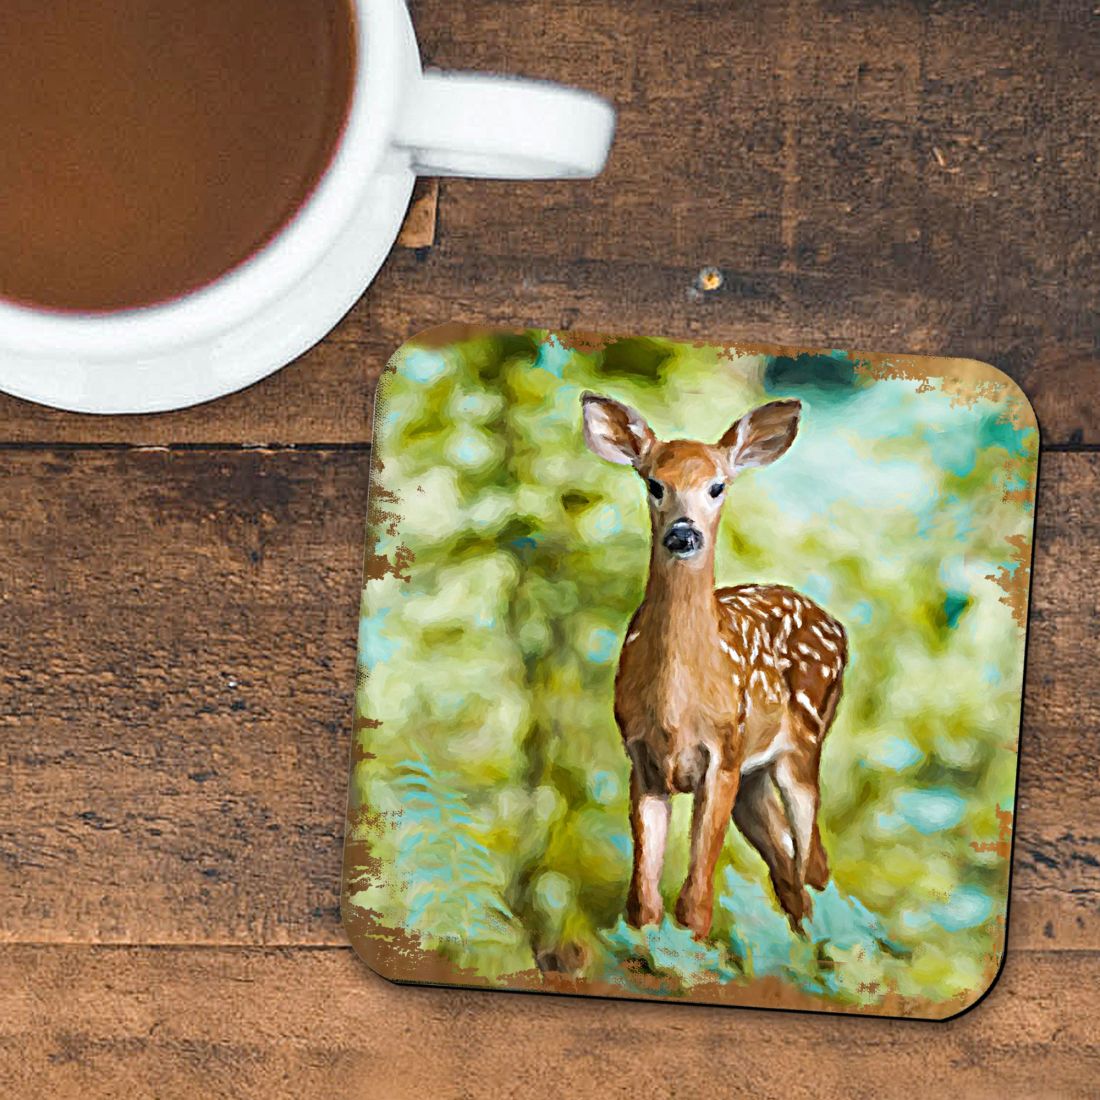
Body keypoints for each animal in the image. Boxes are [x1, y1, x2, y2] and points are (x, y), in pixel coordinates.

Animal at [581, 392, 847, 941]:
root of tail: (838, 625)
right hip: (754, 779)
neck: (676, 706)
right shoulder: (641, 760)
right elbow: (643, 905)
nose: (683, 534)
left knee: (811, 863)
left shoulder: (722, 753)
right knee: (790, 875)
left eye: (717, 486)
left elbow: (696, 903)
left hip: (802, 745)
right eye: (654, 483)